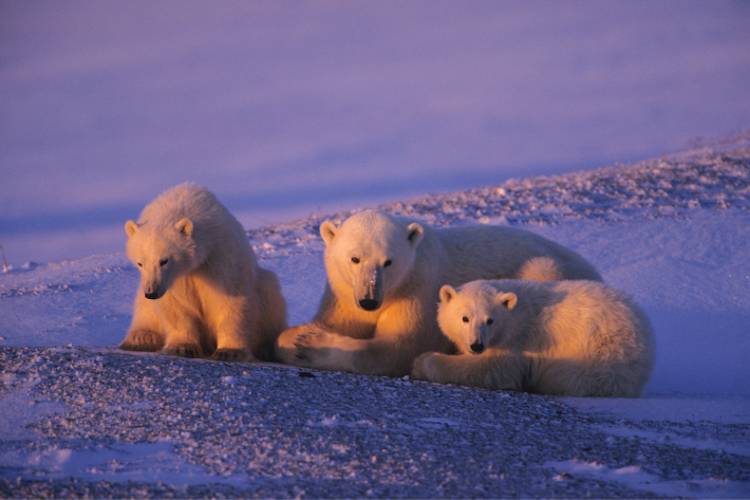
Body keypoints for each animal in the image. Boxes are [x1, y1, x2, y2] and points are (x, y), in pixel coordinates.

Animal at [120, 183, 288, 360]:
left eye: (164, 261)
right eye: (140, 263)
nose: (151, 293)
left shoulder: (220, 257)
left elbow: (231, 299)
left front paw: (229, 351)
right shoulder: (177, 279)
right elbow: (176, 305)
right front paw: (181, 347)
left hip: (265, 291)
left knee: (269, 294)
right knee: (143, 308)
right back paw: (141, 337)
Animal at [280, 209, 604, 376]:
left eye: (388, 261)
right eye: (354, 258)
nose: (369, 300)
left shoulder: (418, 290)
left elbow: (394, 349)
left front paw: (310, 344)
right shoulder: (345, 294)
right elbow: (337, 321)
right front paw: (296, 335)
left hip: (546, 269)